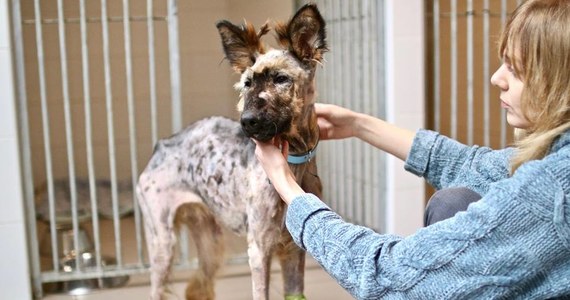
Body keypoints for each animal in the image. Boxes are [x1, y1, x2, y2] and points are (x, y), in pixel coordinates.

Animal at [135, 4, 326, 300]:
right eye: (247, 84)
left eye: (281, 79)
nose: (246, 121)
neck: (294, 165)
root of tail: (161, 145)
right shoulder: (259, 249)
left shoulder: (294, 250)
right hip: (162, 243)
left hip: (209, 240)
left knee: (198, 287)